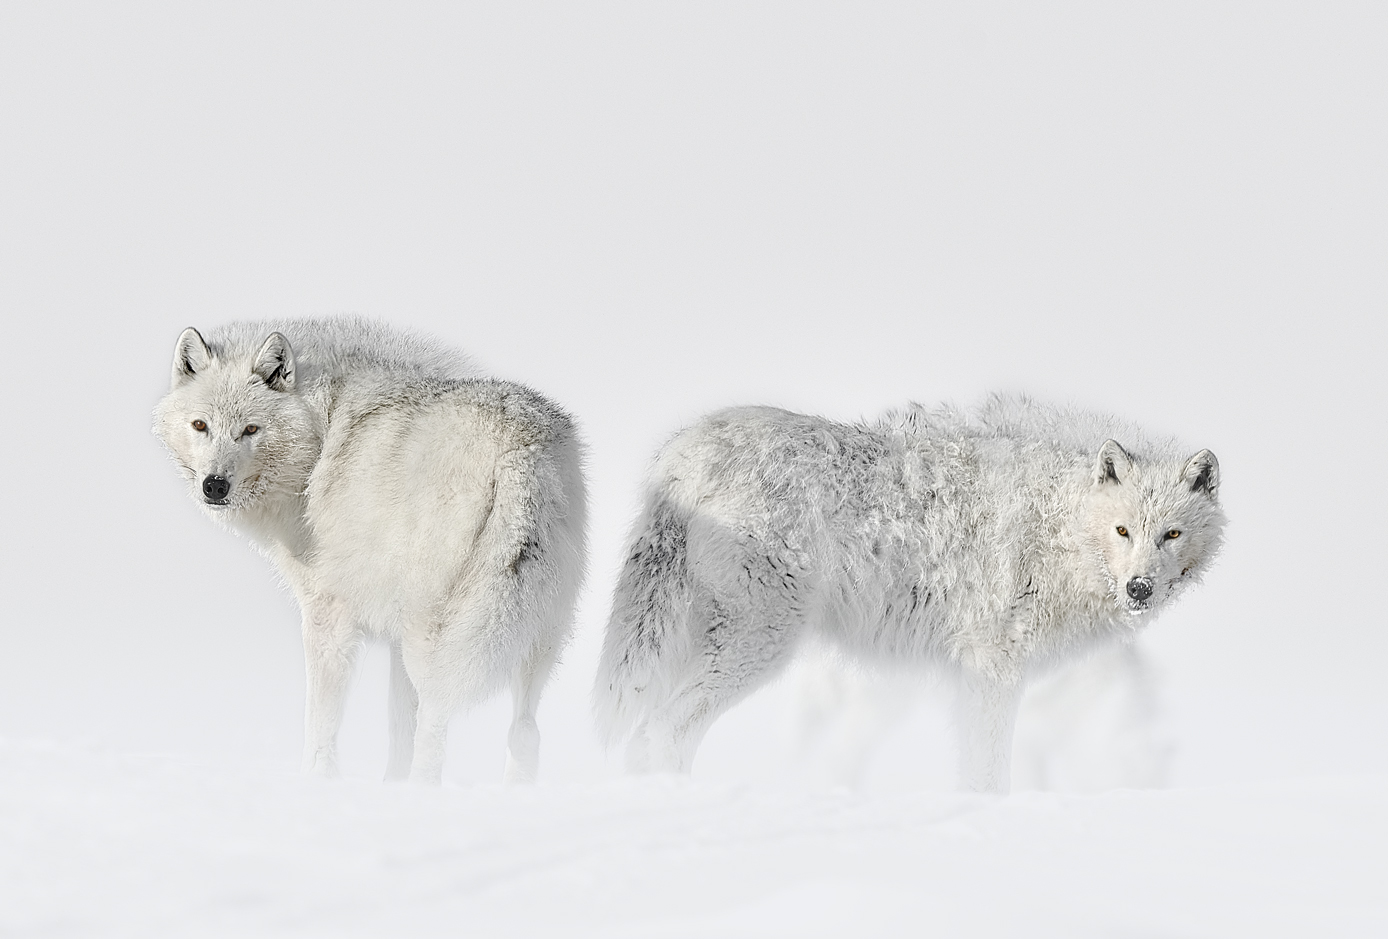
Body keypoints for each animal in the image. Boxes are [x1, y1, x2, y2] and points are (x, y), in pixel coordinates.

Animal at [153, 318, 587, 784]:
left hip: (438, 638)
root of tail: (518, 449)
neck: (320, 435)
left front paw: (316, 781)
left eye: (250, 429)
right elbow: (398, 723)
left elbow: (321, 724)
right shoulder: (395, 636)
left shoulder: (328, 615)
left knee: (436, 729)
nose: (214, 485)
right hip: (531, 636)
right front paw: (388, 786)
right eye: (200, 425)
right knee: (525, 732)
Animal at [595, 395, 1222, 792]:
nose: (1139, 587)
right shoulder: (993, 666)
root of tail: (683, 451)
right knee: (665, 729)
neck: (1060, 525)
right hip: (760, 644)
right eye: (1123, 531)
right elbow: (991, 773)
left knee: (642, 737)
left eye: (1171, 534)